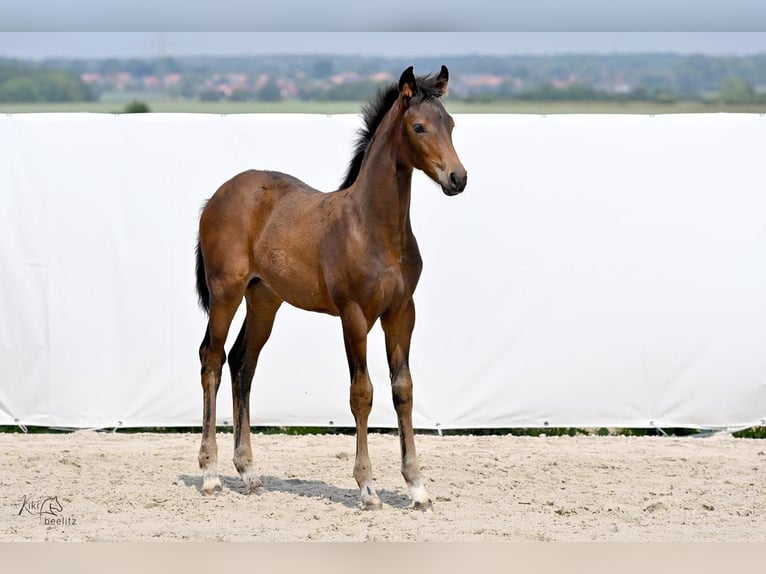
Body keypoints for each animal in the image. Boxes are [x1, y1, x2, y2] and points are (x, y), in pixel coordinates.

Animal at [194, 65, 468, 510]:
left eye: (451, 124)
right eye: (419, 127)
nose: (457, 178)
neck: (373, 229)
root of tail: (216, 196)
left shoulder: (401, 313)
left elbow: (403, 390)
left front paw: (417, 487)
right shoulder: (353, 315)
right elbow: (363, 392)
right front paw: (367, 487)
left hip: (264, 299)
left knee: (242, 363)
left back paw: (249, 473)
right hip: (225, 293)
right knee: (212, 360)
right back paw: (210, 475)